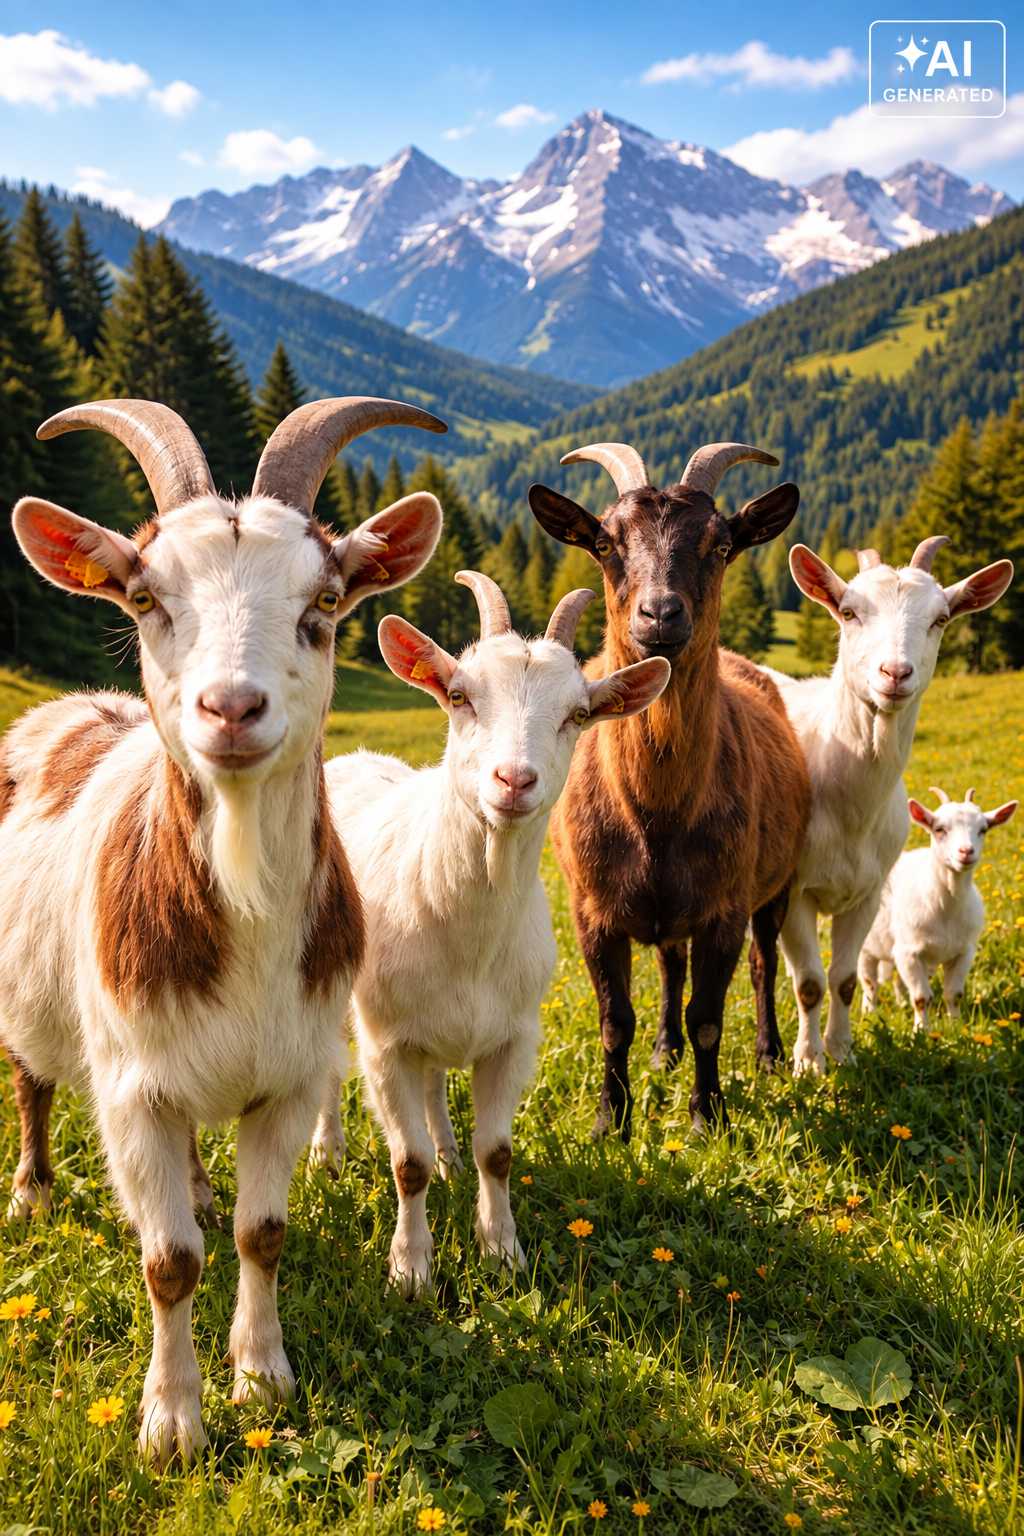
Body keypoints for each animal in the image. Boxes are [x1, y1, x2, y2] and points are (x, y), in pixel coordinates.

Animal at [0, 395, 444, 1463]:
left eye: (326, 603)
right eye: (145, 597)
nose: (232, 707)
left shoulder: (289, 1077)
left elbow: (257, 1236)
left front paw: (262, 1376)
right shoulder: (130, 1092)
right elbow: (168, 1261)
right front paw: (172, 1421)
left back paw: (202, 1189)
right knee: (30, 1078)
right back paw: (32, 1190)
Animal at [310, 572, 668, 1293]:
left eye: (577, 714)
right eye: (459, 695)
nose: (514, 780)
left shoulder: (512, 1037)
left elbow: (497, 1152)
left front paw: (502, 1250)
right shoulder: (385, 1043)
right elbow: (406, 1163)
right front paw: (410, 1269)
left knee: (433, 1089)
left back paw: (449, 1153)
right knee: (332, 1069)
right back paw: (327, 1152)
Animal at [528, 440, 808, 1138]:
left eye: (721, 542)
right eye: (605, 542)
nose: (659, 614)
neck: (655, 813)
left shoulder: (723, 908)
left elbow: (708, 1017)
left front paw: (709, 1117)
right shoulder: (593, 911)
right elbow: (614, 1022)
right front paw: (611, 1122)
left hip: (778, 881)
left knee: (765, 964)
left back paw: (768, 1054)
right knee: (667, 962)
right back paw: (663, 1050)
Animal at [859, 787, 1017, 1031]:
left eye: (983, 829)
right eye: (939, 829)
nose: (966, 851)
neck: (946, 908)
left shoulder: (964, 951)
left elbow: (954, 994)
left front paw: (957, 1027)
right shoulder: (910, 952)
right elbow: (921, 997)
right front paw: (921, 1031)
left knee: (896, 979)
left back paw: (900, 1002)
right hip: (867, 947)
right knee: (869, 983)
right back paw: (868, 1014)